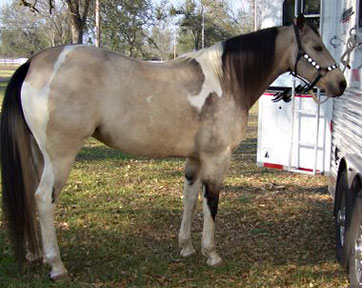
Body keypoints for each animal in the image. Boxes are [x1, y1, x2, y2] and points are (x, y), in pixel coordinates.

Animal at [0, 14, 346, 280]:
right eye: (316, 47)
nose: (340, 84)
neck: (227, 81)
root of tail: (34, 62)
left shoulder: (195, 160)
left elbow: (189, 199)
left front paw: (186, 247)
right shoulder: (217, 159)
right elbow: (211, 202)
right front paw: (211, 253)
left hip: (40, 156)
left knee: (32, 197)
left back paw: (36, 254)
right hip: (61, 157)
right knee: (43, 198)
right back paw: (56, 266)